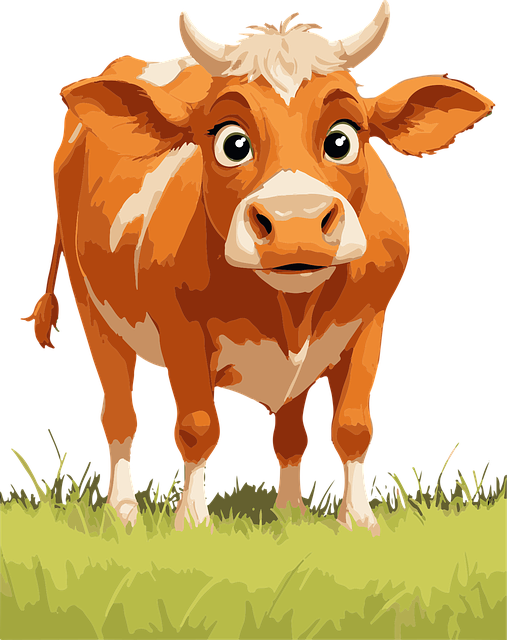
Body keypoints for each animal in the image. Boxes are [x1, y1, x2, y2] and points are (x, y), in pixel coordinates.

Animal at [20, 0, 494, 536]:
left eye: (343, 139)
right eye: (233, 142)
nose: (296, 222)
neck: (288, 309)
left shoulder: (370, 320)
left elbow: (349, 426)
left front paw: (349, 522)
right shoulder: (180, 327)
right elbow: (197, 426)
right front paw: (193, 523)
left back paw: (288, 512)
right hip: (94, 311)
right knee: (120, 414)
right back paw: (122, 514)